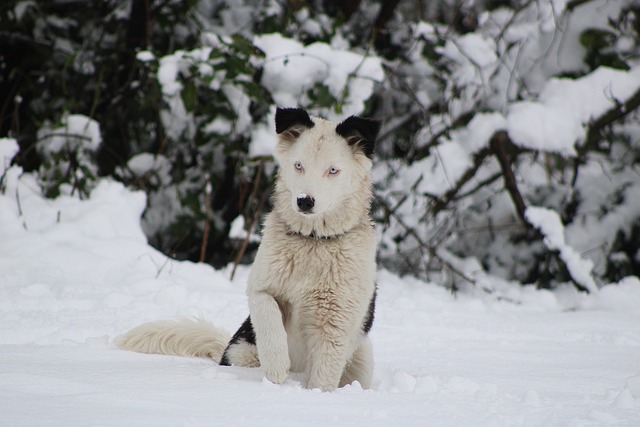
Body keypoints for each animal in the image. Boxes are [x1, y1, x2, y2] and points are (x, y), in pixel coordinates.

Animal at [116, 108, 380, 392]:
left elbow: (324, 373)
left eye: (333, 170)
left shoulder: (336, 322)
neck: (312, 241)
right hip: (240, 350)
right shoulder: (260, 286)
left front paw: (314, 393)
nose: (304, 201)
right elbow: (267, 314)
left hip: (363, 357)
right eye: (298, 165)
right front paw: (277, 367)